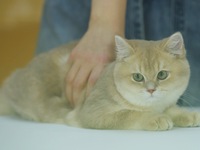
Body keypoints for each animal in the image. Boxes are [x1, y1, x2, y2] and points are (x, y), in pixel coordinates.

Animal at [0, 32, 200, 131]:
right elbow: (130, 114)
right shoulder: (93, 113)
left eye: (162, 75)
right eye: (138, 77)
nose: (151, 90)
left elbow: (171, 109)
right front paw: (155, 118)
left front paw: (187, 115)